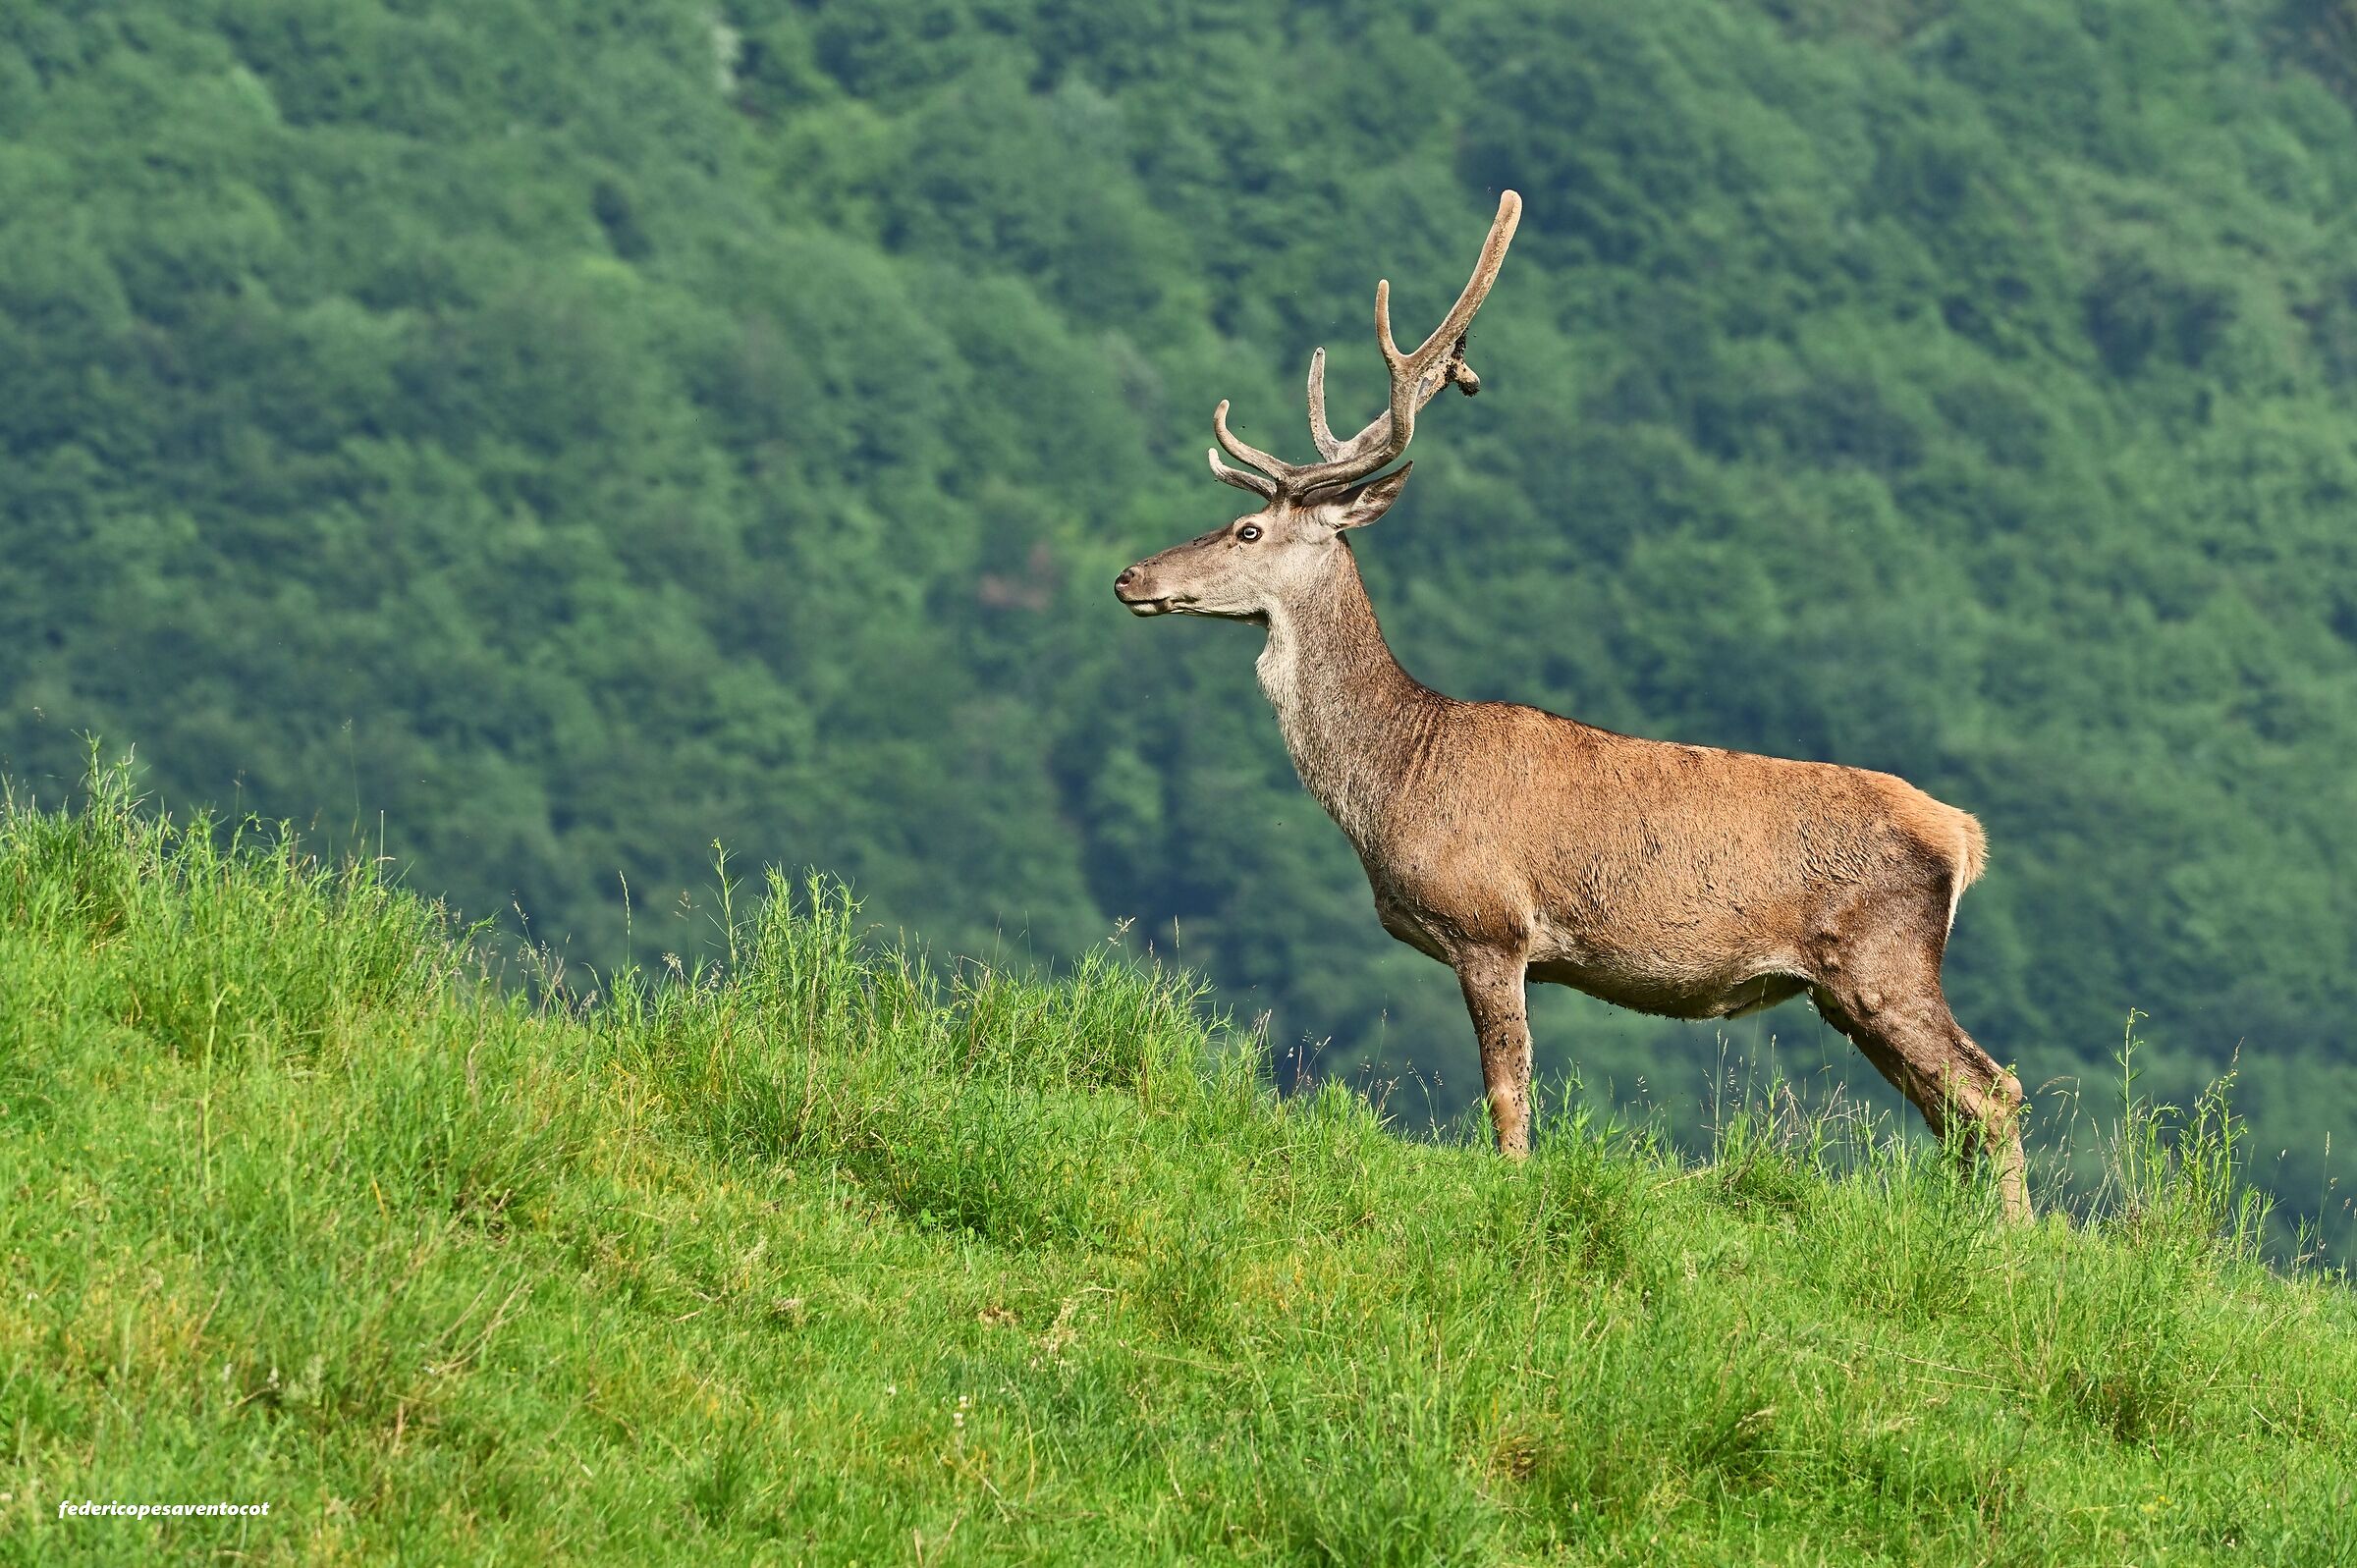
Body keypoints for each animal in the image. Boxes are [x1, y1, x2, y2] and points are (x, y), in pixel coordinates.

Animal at [1114, 191, 2029, 1219]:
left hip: (1883, 957)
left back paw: (2018, 1240)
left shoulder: (1490, 924)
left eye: (1246, 529)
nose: (1130, 575)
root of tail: (1962, 837)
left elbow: (1507, 1092)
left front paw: (1512, 1193)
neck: (1392, 780)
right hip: (1849, 989)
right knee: (1952, 1109)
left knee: (1992, 1090)